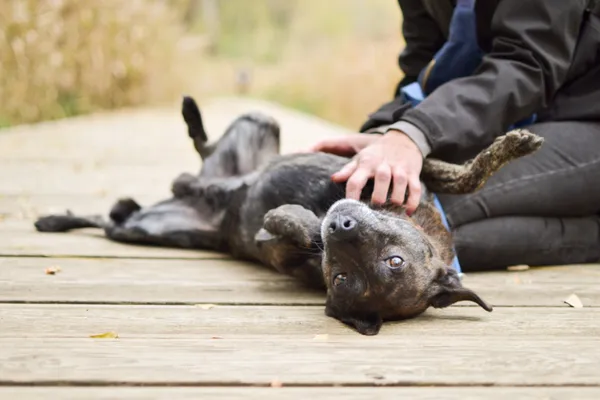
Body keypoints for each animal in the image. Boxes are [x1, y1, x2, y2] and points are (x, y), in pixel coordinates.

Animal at [35, 96, 548, 334]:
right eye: (396, 258)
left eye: (343, 278)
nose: (340, 225)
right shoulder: (395, 161)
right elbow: (466, 174)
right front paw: (514, 144)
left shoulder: (284, 250)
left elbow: (288, 229)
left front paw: (298, 222)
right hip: (261, 123)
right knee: (202, 150)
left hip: (148, 231)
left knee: (114, 220)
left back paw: (61, 220)